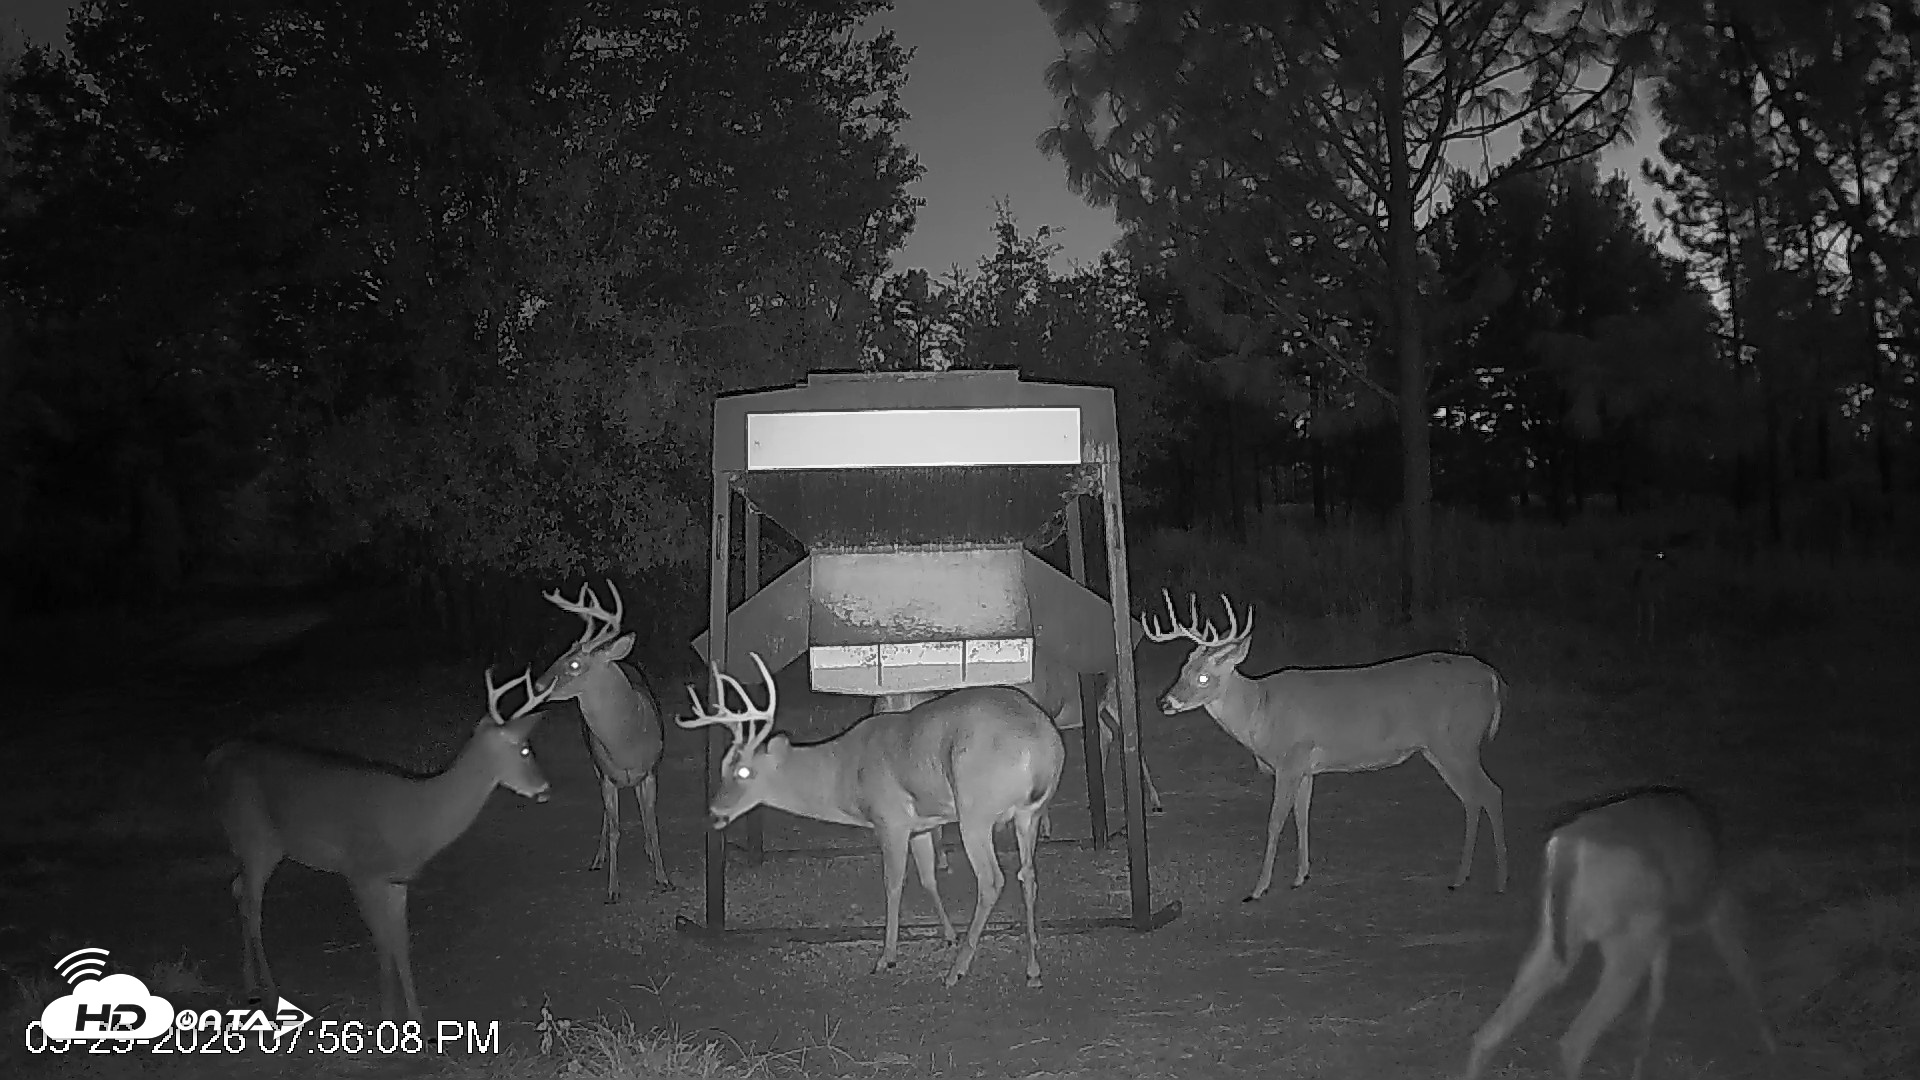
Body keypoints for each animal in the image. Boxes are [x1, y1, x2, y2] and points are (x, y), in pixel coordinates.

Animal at [205, 667, 554, 1024]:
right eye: (525, 749)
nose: (545, 788)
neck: (419, 820)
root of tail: (215, 758)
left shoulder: (396, 880)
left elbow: (401, 945)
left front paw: (417, 1020)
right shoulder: (360, 871)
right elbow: (383, 945)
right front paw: (387, 1014)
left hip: (250, 844)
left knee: (237, 888)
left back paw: (251, 987)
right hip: (256, 838)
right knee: (252, 907)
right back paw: (272, 994)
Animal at [536, 580, 673, 902]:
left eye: (574, 664)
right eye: (561, 654)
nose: (537, 685)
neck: (626, 743)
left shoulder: (650, 771)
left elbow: (652, 822)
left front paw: (663, 877)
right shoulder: (607, 775)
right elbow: (615, 830)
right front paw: (613, 889)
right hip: (596, 767)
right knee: (607, 816)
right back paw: (598, 859)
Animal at [678, 653, 1065, 988]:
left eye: (743, 771)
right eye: (722, 766)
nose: (714, 813)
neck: (845, 772)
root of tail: (1044, 748)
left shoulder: (889, 818)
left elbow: (893, 884)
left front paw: (886, 957)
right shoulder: (921, 824)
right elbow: (928, 878)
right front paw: (948, 936)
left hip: (975, 809)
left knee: (992, 880)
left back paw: (957, 971)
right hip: (1028, 815)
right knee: (1028, 877)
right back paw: (1033, 970)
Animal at [1143, 590, 1508, 901]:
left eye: (1204, 677)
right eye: (1183, 669)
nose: (1164, 702)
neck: (1260, 711)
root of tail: (1492, 677)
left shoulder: (1290, 760)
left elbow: (1275, 821)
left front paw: (1258, 888)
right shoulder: (1306, 767)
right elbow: (1302, 815)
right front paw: (1300, 876)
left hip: (1458, 741)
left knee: (1491, 793)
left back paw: (1498, 880)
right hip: (1440, 749)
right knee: (1472, 799)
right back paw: (1461, 878)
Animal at [1462, 787, 1777, 1080]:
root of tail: (1568, 846)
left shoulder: (1662, 934)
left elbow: (1655, 1000)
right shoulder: (1714, 909)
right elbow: (1744, 973)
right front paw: (1772, 1047)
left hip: (1559, 934)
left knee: (1489, 1032)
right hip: (1625, 939)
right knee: (1574, 1041)